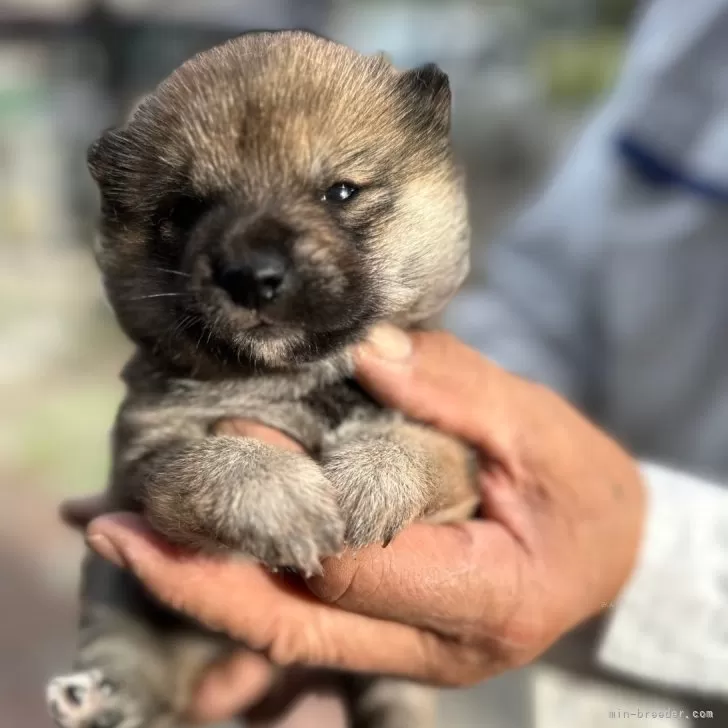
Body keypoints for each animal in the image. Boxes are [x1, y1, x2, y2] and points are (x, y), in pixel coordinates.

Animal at [45, 29, 478, 728]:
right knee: (128, 658)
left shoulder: (458, 454)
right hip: (117, 591)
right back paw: (95, 698)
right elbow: (211, 460)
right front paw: (280, 496)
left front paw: (367, 478)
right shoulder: (143, 459)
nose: (251, 276)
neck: (293, 377)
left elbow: (414, 445)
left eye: (340, 192)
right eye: (186, 210)